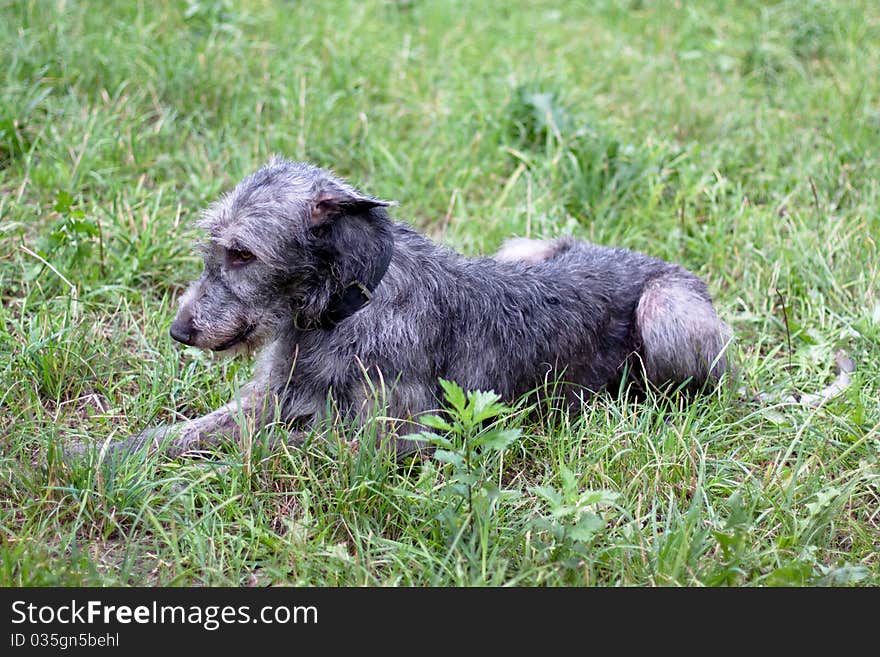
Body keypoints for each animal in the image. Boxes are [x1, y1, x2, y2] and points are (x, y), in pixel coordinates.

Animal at [98, 158, 728, 456]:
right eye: (214, 245)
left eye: (242, 253)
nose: (180, 331)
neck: (347, 307)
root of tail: (658, 262)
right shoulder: (270, 397)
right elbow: (177, 433)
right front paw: (93, 456)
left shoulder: (393, 437)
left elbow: (279, 447)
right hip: (524, 247)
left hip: (665, 311)